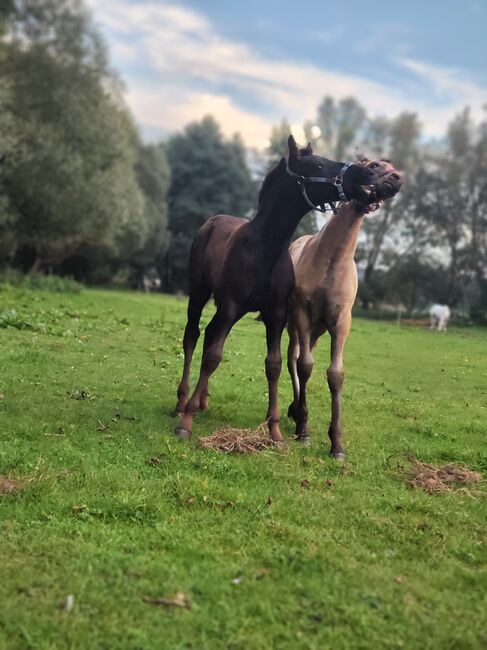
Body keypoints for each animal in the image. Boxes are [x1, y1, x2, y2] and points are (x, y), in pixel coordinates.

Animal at [175, 134, 386, 442]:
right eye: (318, 164)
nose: (368, 173)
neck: (266, 247)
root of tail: (211, 222)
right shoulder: (233, 305)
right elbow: (214, 357)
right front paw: (186, 424)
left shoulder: (273, 313)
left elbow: (272, 364)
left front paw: (275, 431)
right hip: (200, 293)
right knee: (192, 335)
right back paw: (182, 402)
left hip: (225, 308)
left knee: (210, 334)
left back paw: (201, 400)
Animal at [286, 160, 404, 458]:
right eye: (373, 165)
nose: (397, 179)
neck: (331, 262)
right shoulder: (303, 314)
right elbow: (305, 366)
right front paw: (304, 429)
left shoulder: (341, 321)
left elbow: (335, 374)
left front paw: (337, 444)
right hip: (294, 324)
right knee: (293, 359)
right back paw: (295, 411)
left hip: (317, 330)